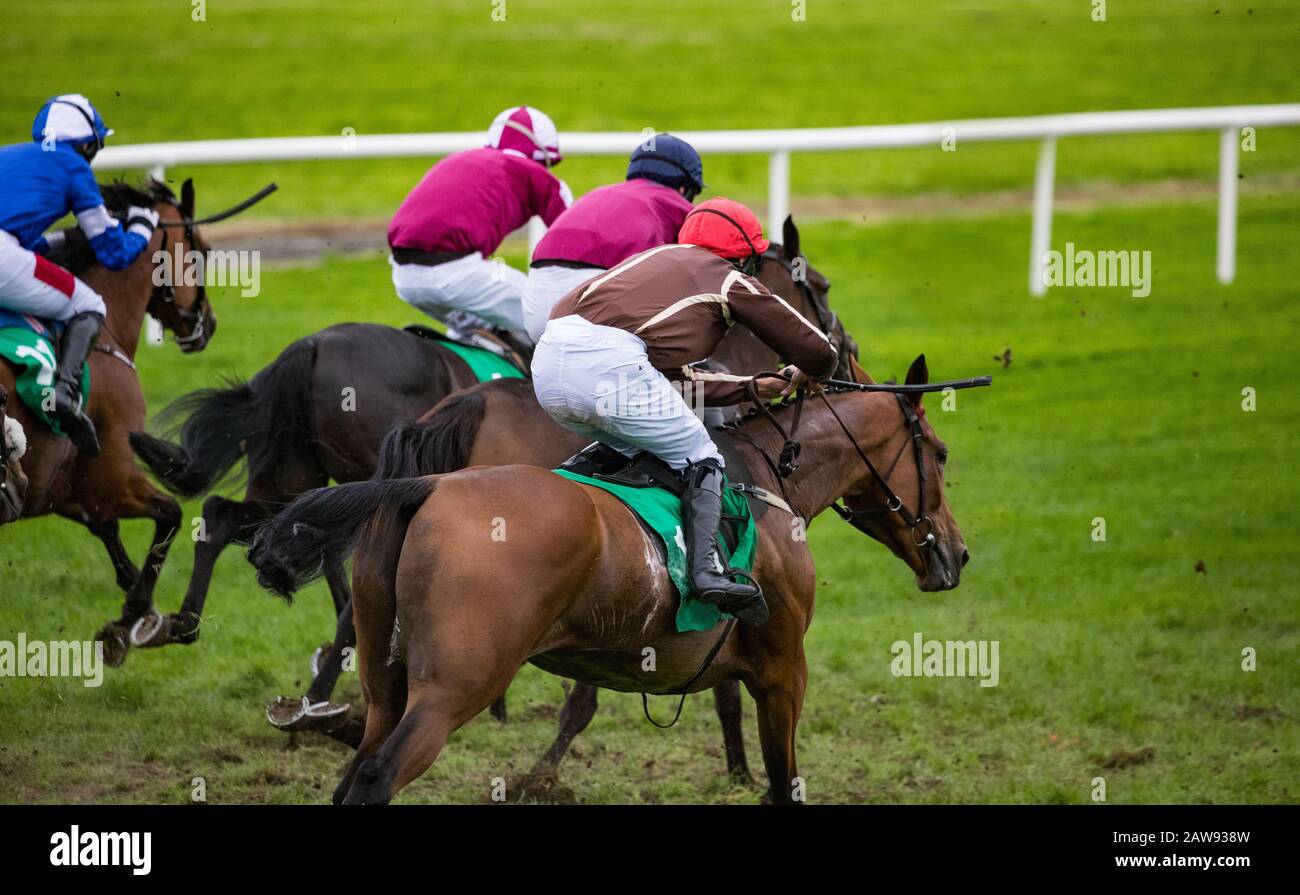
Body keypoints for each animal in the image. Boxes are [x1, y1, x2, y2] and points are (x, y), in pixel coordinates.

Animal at [0, 178, 218, 660]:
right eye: (203, 250)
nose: (208, 324)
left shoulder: (64, 488)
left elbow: (110, 533)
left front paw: (144, 614)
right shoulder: (112, 473)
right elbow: (171, 514)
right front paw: (137, 618)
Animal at [248, 353, 977, 806]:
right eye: (940, 453)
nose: (958, 554)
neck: (772, 475)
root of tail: (423, 485)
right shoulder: (782, 671)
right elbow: (782, 782)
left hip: (386, 684)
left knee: (353, 768)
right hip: (454, 687)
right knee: (375, 776)